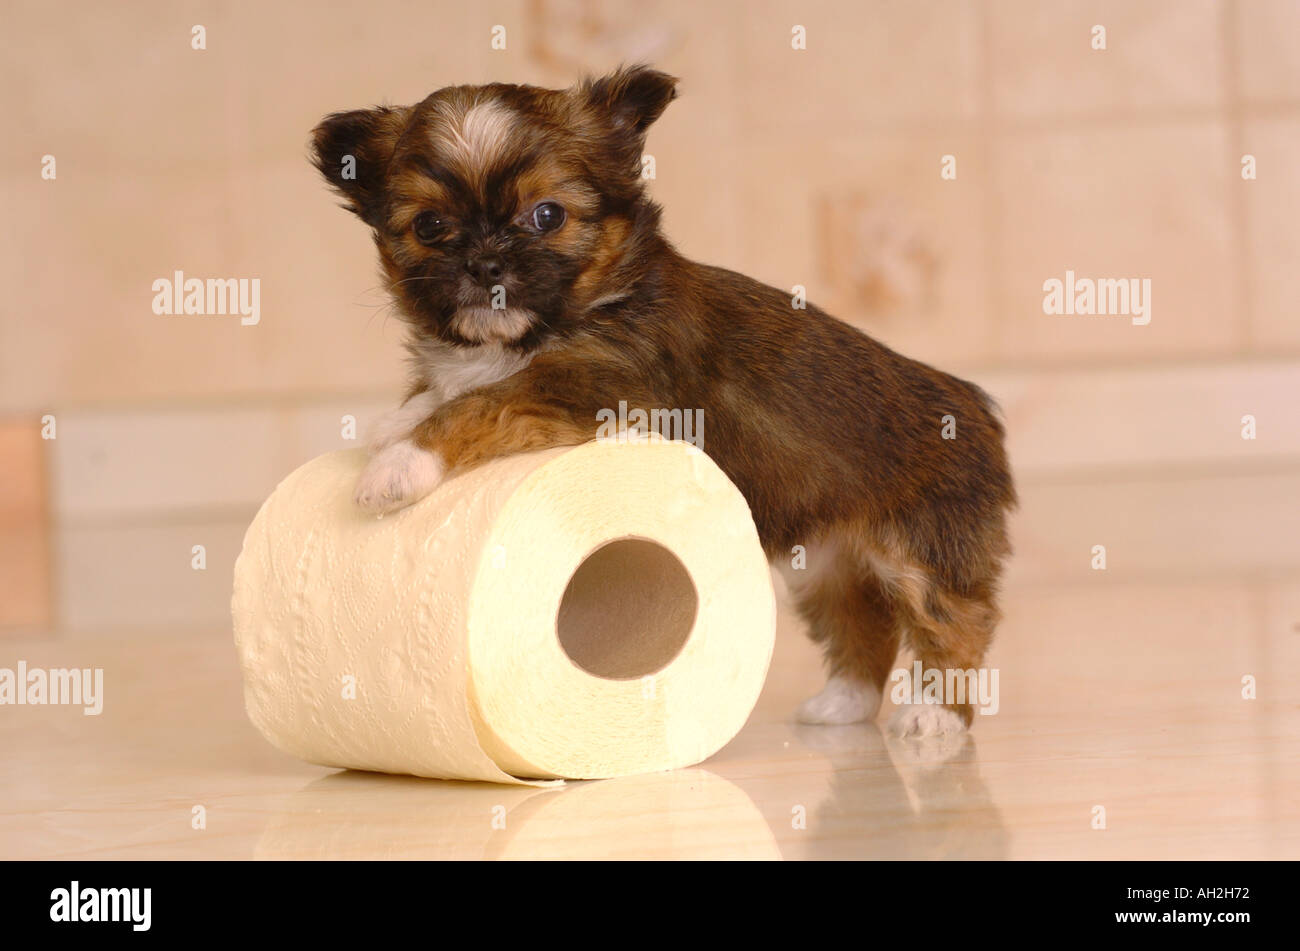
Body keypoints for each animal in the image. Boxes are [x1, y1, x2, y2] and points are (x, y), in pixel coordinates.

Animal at [312, 64, 1013, 737]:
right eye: (430, 226)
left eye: (547, 215)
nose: (485, 266)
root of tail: (976, 407)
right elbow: (446, 390)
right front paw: (400, 418)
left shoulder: (598, 385)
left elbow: (487, 402)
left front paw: (400, 466)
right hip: (827, 563)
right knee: (859, 626)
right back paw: (844, 702)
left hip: (925, 551)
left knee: (956, 624)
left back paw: (936, 716)